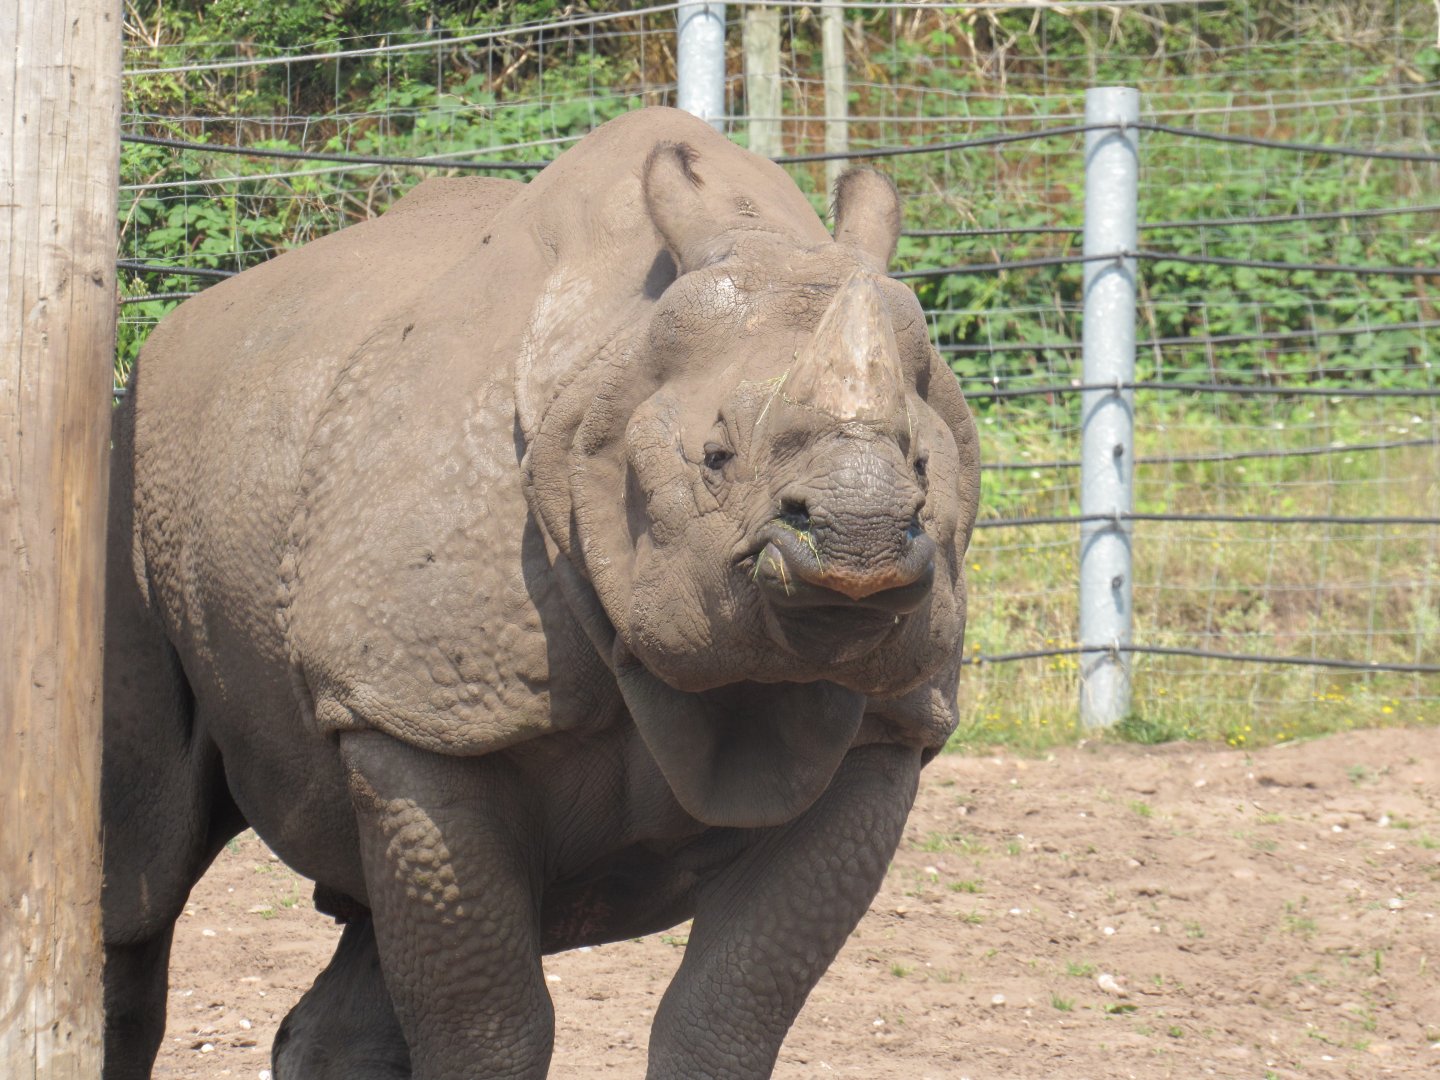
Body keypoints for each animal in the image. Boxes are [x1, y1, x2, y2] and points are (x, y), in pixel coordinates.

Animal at [101, 107, 979, 1079]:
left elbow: (728, 1015)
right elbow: (489, 1027)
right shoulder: (415, 714)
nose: (859, 539)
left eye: (924, 466)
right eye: (715, 457)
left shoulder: (888, 732)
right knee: (137, 876)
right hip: (134, 452)